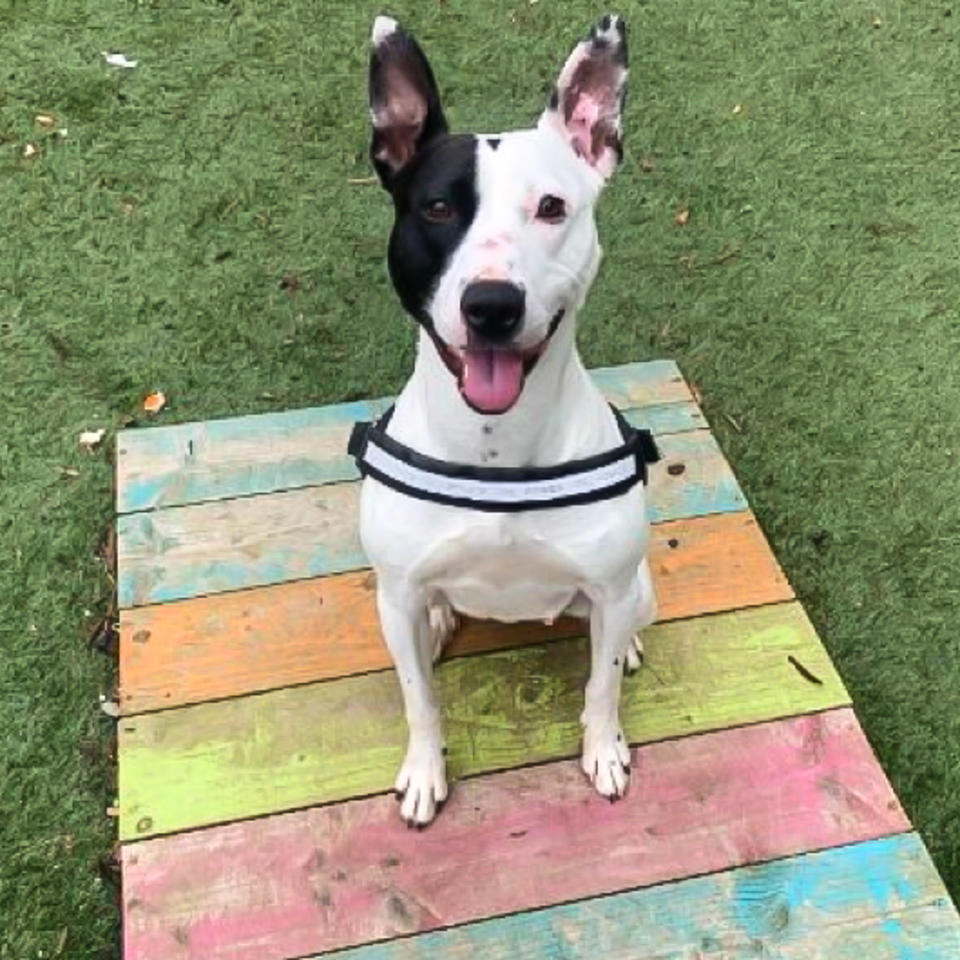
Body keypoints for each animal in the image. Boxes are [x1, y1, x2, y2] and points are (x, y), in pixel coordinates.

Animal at [352, 13, 660, 824]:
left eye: (552, 207)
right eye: (436, 208)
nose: (492, 305)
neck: (496, 449)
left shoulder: (609, 588)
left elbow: (600, 687)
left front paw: (603, 750)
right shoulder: (396, 596)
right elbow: (419, 699)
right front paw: (425, 770)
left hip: (633, 588)